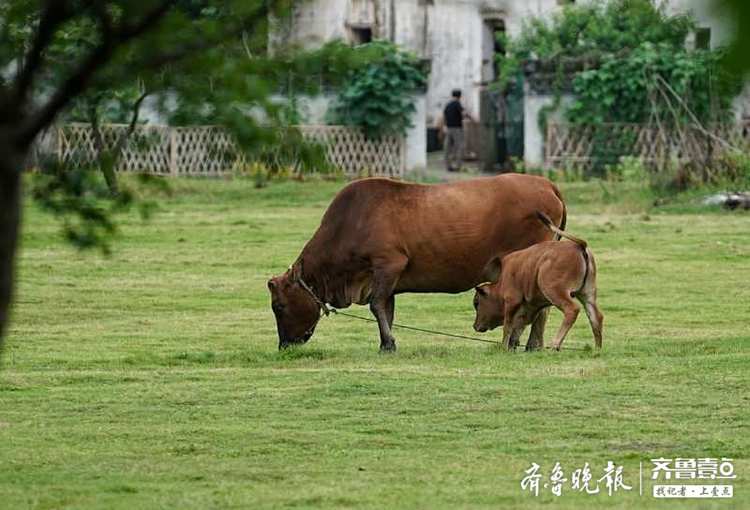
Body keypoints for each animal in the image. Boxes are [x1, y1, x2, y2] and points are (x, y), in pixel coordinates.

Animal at [268, 174, 568, 350]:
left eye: (279, 306)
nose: (284, 345)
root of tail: (546, 184)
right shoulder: (386, 279)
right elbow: (386, 309)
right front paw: (386, 342)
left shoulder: (388, 264)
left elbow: (376, 305)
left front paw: (388, 343)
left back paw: (521, 342)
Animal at [476, 211, 604, 350]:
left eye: (476, 303)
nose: (475, 326)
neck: (503, 277)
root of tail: (580, 245)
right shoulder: (529, 307)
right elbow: (518, 327)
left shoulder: (511, 301)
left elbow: (508, 326)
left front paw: (504, 347)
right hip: (587, 294)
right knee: (596, 317)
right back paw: (597, 349)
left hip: (555, 291)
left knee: (572, 310)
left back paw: (555, 345)